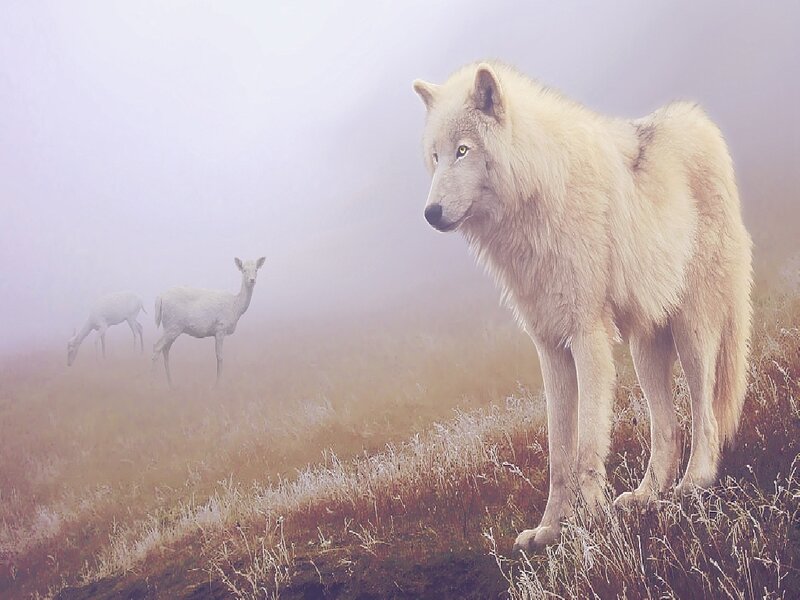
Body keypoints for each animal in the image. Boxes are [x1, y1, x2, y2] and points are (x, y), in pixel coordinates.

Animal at [412, 62, 752, 552]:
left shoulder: (587, 336)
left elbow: (588, 448)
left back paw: (694, 484)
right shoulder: (550, 348)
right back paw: (647, 495)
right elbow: (559, 456)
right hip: (644, 349)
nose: (431, 212)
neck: (537, 198)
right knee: (667, 428)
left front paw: (592, 523)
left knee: (705, 415)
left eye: (463, 150)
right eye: (435, 156)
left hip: (693, 332)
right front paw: (549, 530)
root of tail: (700, 124)